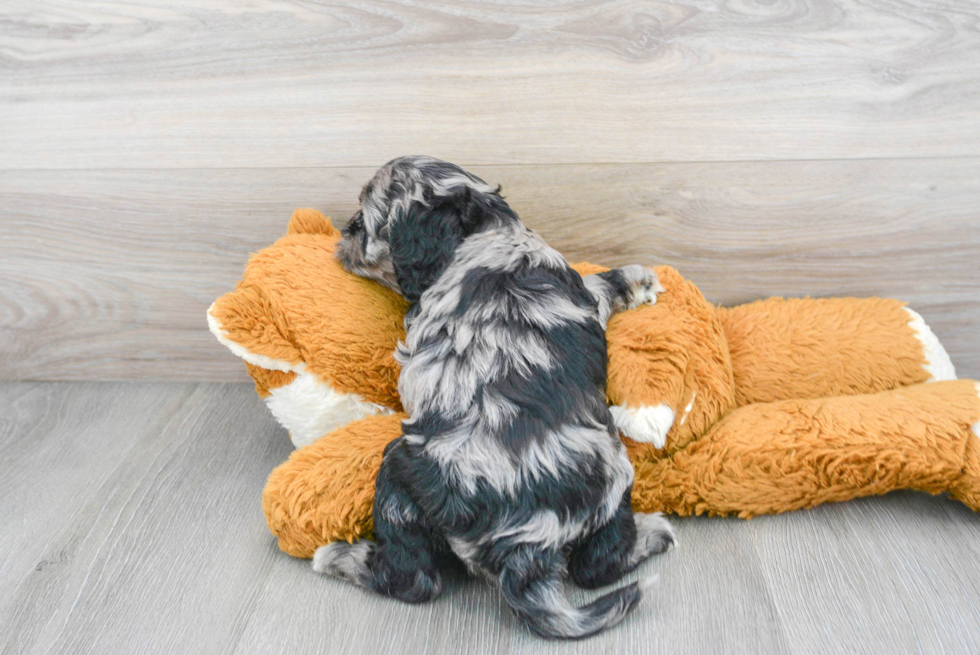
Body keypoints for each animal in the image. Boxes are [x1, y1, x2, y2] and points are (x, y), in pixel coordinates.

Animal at [314, 156, 672, 640]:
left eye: (368, 221)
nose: (346, 229)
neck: (487, 229)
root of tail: (526, 548)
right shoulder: (580, 293)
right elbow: (596, 286)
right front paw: (637, 278)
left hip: (399, 477)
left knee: (418, 579)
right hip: (611, 479)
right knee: (594, 565)